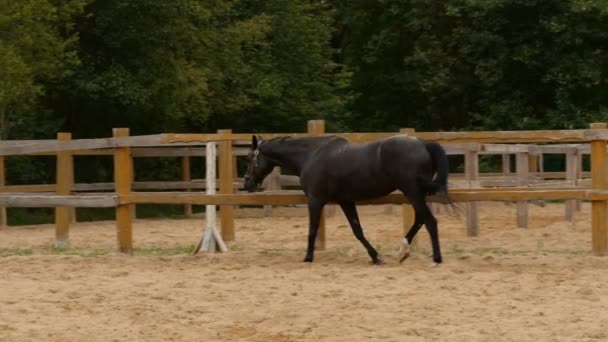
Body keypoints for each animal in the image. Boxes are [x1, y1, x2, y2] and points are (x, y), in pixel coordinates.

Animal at [245, 134, 448, 264]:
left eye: (250, 158)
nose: (246, 183)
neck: (310, 155)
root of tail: (422, 143)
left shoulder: (315, 200)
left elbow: (312, 229)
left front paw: (308, 257)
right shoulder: (345, 201)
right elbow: (357, 230)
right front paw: (375, 257)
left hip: (412, 192)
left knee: (430, 221)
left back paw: (432, 257)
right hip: (417, 194)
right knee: (422, 219)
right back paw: (405, 252)